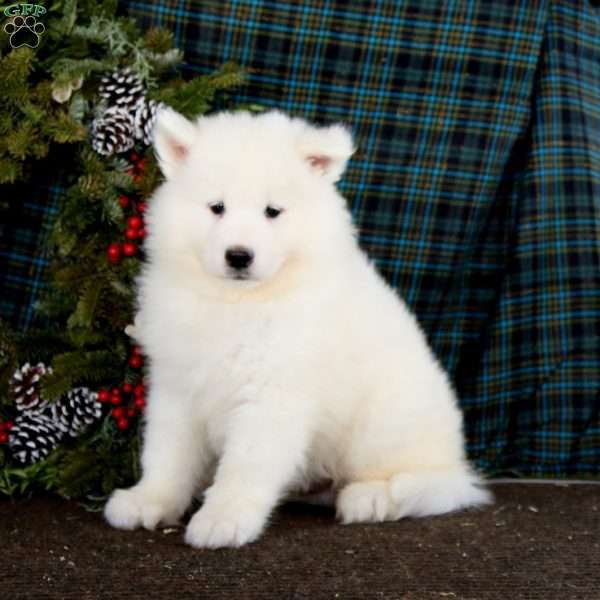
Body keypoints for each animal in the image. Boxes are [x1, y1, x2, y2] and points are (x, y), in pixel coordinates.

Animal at [104, 108, 492, 548]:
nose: (239, 256)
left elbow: (245, 465)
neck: (238, 302)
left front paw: (223, 518)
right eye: (217, 207)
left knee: (437, 485)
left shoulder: (273, 394)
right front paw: (148, 499)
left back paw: (373, 496)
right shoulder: (177, 385)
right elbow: (166, 454)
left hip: (388, 423)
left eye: (272, 211)